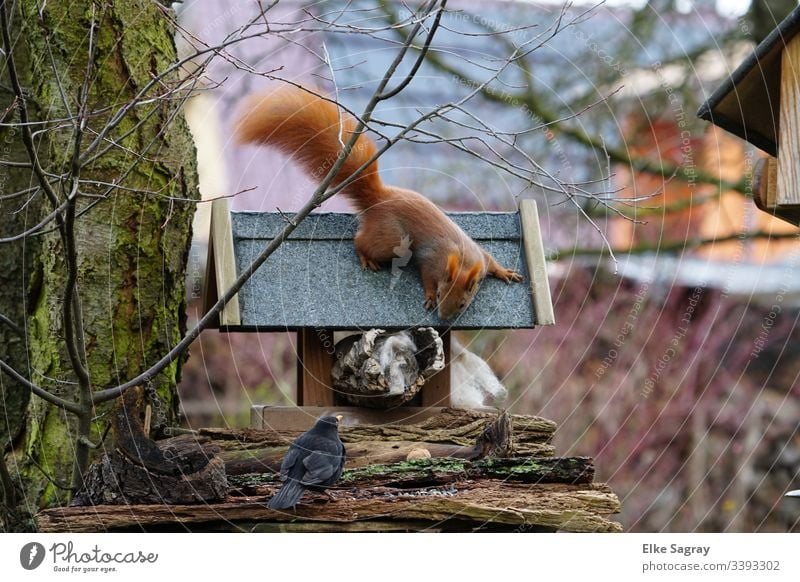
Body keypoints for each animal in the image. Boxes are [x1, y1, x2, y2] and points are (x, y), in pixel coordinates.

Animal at [236, 86, 524, 320]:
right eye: (443, 294)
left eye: (463, 304)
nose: (443, 319)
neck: (461, 260)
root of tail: (379, 197)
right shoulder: (430, 260)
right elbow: (426, 276)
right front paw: (429, 296)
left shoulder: (480, 257)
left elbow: (492, 262)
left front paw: (506, 273)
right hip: (391, 239)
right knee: (360, 241)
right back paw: (366, 259)